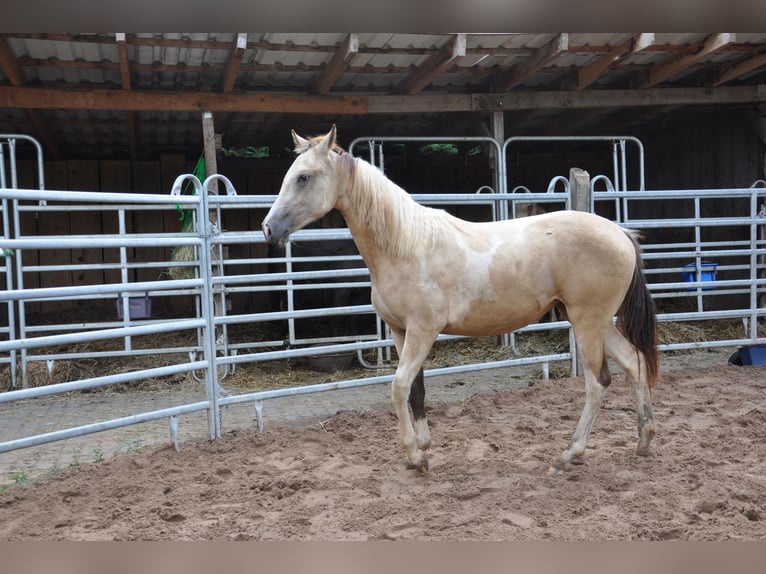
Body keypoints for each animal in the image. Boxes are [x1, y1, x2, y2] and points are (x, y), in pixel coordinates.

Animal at [262, 126, 658, 475]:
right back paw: (644, 441)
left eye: (304, 177)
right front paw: (423, 445)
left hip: (587, 322)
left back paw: (568, 455)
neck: (406, 246)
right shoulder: (400, 331)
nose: (269, 228)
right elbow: (416, 389)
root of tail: (620, 234)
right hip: (597, 322)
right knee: (634, 363)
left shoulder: (423, 331)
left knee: (597, 383)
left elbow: (398, 387)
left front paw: (415, 457)